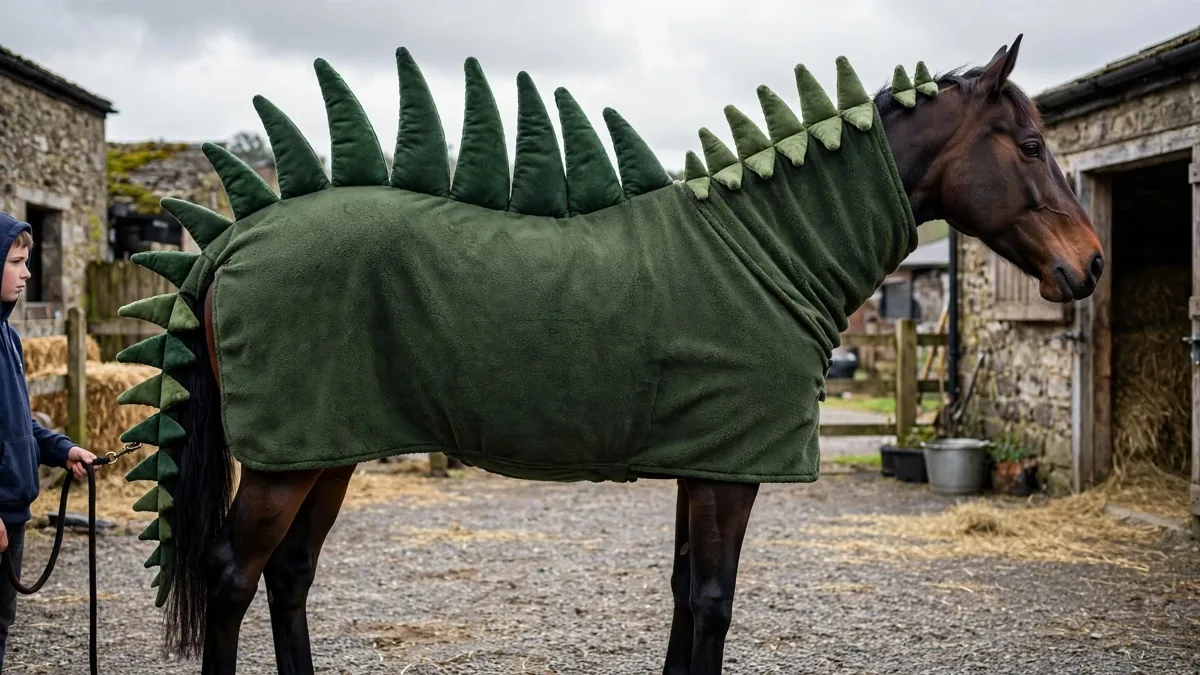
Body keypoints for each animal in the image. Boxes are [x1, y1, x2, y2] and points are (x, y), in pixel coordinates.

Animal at [138, 34, 1101, 674]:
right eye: (1030, 145)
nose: (1090, 264)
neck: (763, 246)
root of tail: (234, 241)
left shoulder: (705, 461)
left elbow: (683, 595)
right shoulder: (727, 472)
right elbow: (712, 602)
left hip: (325, 446)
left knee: (289, 574)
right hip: (284, 462)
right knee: (231, 575)